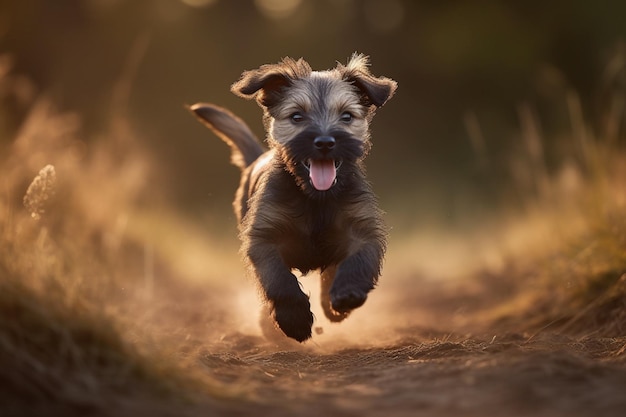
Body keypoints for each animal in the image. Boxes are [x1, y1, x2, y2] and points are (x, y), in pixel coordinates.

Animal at [189, 53, 394, 342]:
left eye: (347, 116)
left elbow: (358, 261)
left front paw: (345, 296)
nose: (325, 142)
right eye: (297, 116)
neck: (315, 199)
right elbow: (278, 281)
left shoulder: (362, 230)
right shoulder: (263, 239)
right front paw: (294, 320)